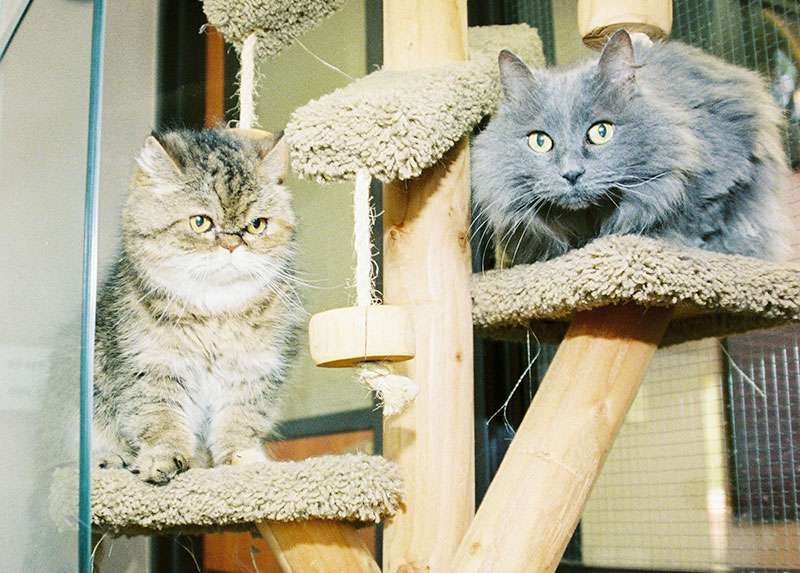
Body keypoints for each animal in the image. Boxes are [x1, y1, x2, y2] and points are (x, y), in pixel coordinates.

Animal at [91, 128, 304, 482]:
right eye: (201, 222)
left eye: (257, 225)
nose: (232, 245)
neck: (215, 313)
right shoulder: (151, 368)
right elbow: (161, 421)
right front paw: (162, 460)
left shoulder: (254, 371)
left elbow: (240, 424)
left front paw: (243, 462)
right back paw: (109, 460)